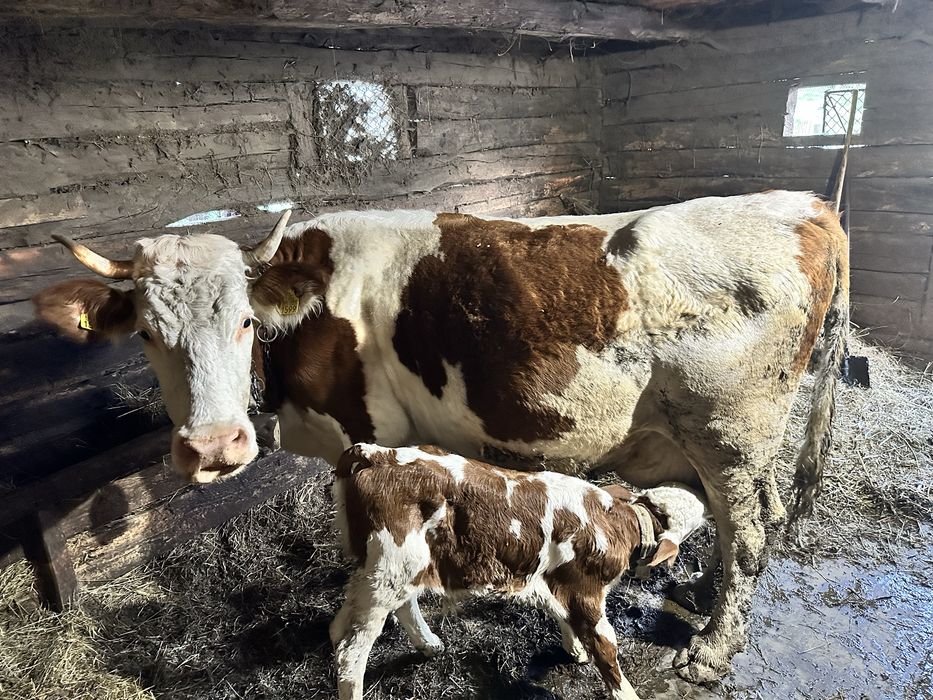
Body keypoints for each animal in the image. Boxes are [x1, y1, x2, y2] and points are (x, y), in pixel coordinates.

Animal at [331, 443, 710, 700]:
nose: (705, 494)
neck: (622, 521)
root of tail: (375, 453)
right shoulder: (586, 593)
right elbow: (608, 652)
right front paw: (621, 687)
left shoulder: (550, 580)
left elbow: (559, 612)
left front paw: (575, 648)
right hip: (391, 568)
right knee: (352, 652)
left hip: (394, 569)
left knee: (378, 611)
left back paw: (428, 644)